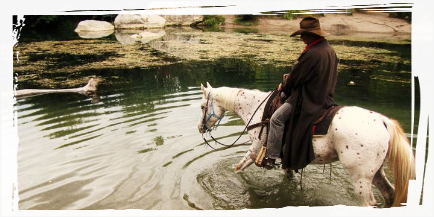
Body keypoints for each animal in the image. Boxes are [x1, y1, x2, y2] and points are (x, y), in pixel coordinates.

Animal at [198, 82, 416, 214]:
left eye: (201, 106)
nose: (200, 127)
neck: (256, 108)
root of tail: (383, 121)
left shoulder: (255, 150)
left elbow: (236, 168)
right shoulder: (287, 157)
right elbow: (288, 179)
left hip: (360, 178)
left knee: (369, 204)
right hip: (376, 172)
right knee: (390, 194)